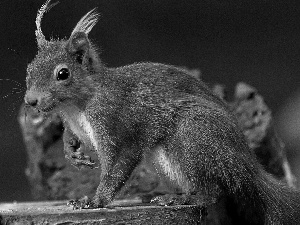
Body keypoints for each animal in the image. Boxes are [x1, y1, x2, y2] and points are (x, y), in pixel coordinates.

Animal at [24, 0, 300, 224]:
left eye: (63, 73)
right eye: (29, 69)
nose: (30, 100)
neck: (77, 106)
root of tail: (247, 165)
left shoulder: (115, 123)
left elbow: (117, 167)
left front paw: (95, 200)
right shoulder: (74, 122)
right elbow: (71, 138)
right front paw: (71, 152)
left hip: (192, 137)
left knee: (213, 192)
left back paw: (180, 199)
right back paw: (155, 195)